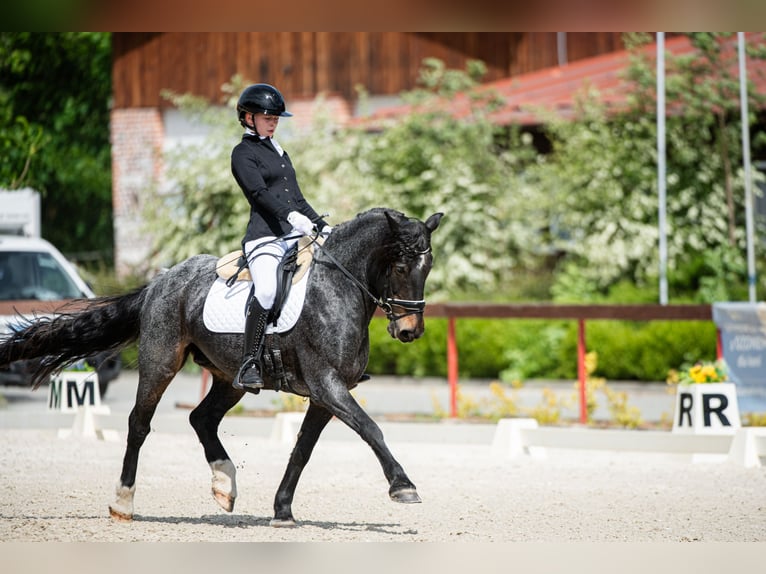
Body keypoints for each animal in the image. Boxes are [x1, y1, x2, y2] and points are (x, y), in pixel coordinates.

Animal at [0, 209, 444, 528]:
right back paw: (122, 502)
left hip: (231, 378)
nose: (409, 331)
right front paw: (403, 486)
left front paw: (282, 510)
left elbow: (302, 450)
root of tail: (160, 283)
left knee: (202, 418)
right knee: (139, 424)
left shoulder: (325, 396)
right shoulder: (327, 385)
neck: (337, 287)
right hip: (161, 362)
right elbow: (371, 429)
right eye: (401, 267)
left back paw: (224, 484)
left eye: (428, 268)